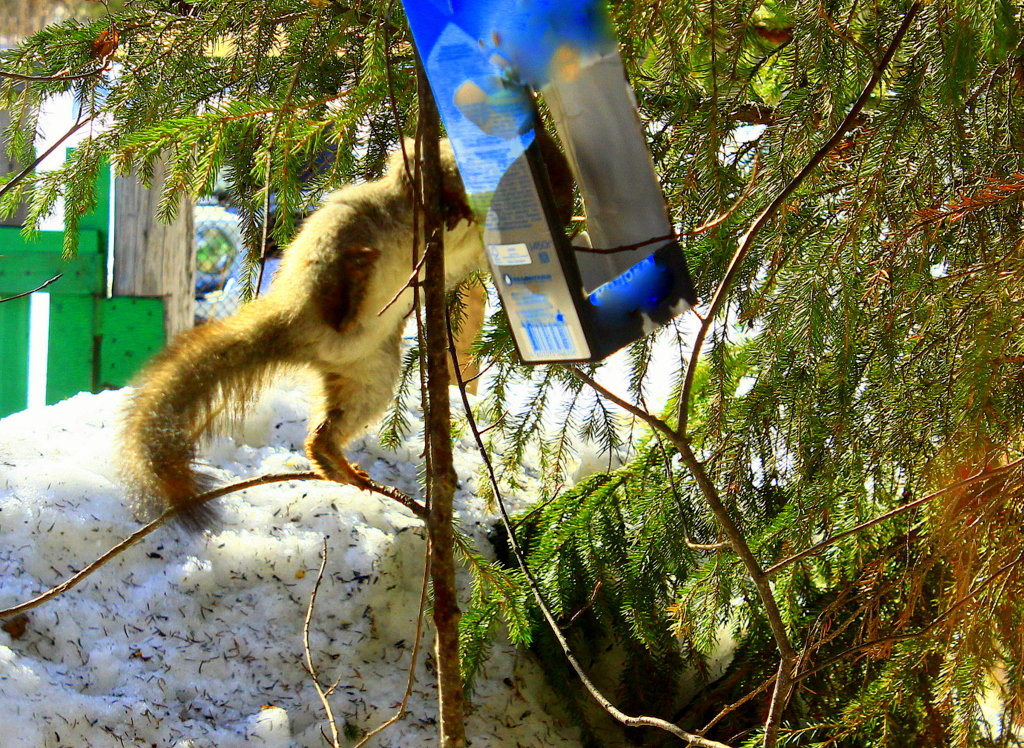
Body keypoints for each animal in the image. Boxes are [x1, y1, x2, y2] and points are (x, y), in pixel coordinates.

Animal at [119, 134, 577, 528]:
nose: (563, 205)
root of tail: (301, 329)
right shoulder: (424, 163)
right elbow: (422, 177)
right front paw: (454, 208)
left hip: (370, 376)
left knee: (325, 431)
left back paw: (335, 461)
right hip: (334, 243)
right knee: (336, 294)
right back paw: (354, 282)